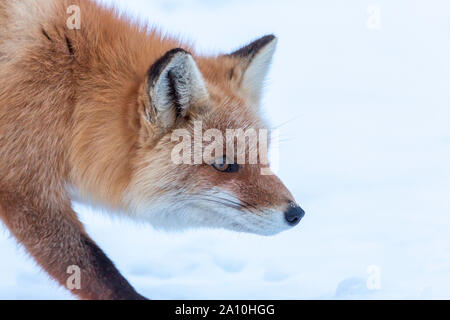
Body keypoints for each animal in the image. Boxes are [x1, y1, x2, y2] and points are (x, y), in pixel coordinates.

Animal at [0, 0, 304, 300]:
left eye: (263, 155)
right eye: (222, 163)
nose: (296, 214)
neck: (70, 94)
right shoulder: (25, 188)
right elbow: (99, 272)